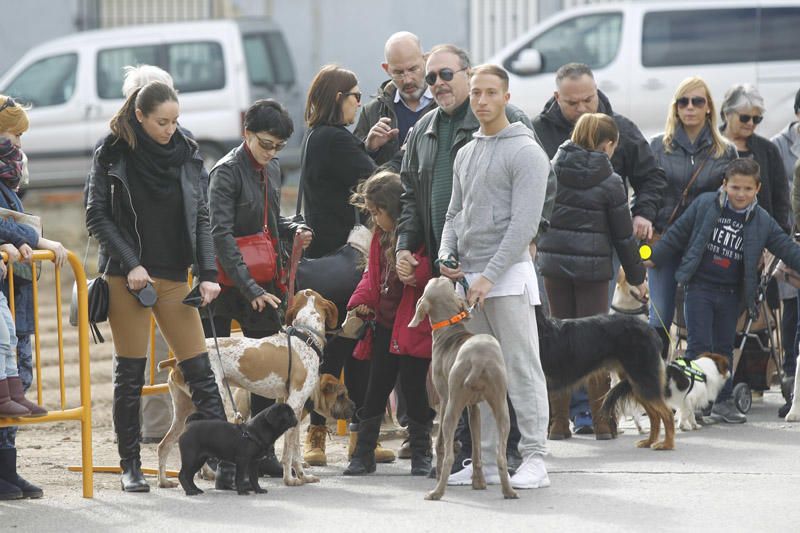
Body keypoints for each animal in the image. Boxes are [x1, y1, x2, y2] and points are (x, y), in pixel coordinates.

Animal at [159, 290, 354, 486]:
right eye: (342, 395)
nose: (353, 409)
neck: (305, 337)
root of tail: (176, 360)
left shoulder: (296, 410)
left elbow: (295, 450)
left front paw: (303, 476)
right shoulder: (294, 404)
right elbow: (288, 453)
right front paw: (289, 479)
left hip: (183, 411)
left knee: (164, 445)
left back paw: (166, 481)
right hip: (213, 399)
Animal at [410, 276, 516, 500]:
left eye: (435, 281)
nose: (444, 274)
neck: (450, 328)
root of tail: (479, 358)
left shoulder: (443, 399)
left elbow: (440, 444)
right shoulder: (473, 407)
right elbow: (476, 446)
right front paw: (479, 482)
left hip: (452, 405)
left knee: (449, 454)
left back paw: (436, 492)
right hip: (501, 404)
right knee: (500, 456)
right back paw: (509, 491)